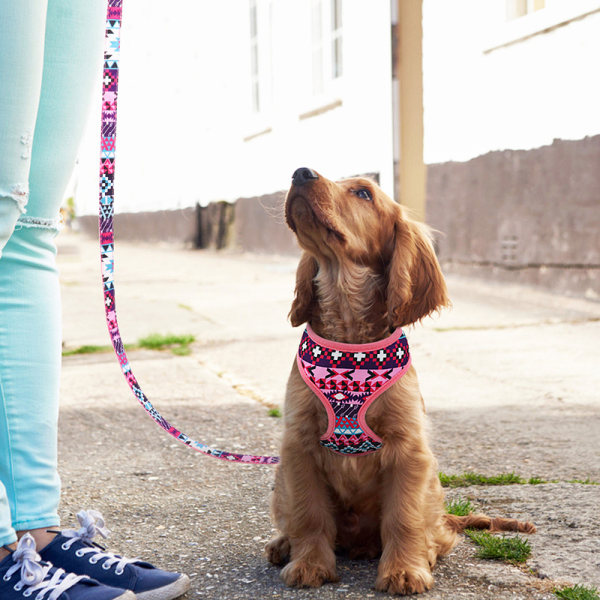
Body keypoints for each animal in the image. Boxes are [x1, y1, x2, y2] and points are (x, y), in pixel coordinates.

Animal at [264, 169, 536, 596]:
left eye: (363, 193)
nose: (300, 172)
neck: (349, 331)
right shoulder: (299, 445)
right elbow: (309, 514)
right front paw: (309, 564)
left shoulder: (410, 450)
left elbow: (403, 517)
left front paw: (405, 571)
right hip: (281, 480)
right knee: (293, 516)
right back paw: (282, 545)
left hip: (433, 485)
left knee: (438, 531)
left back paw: (426, 551)